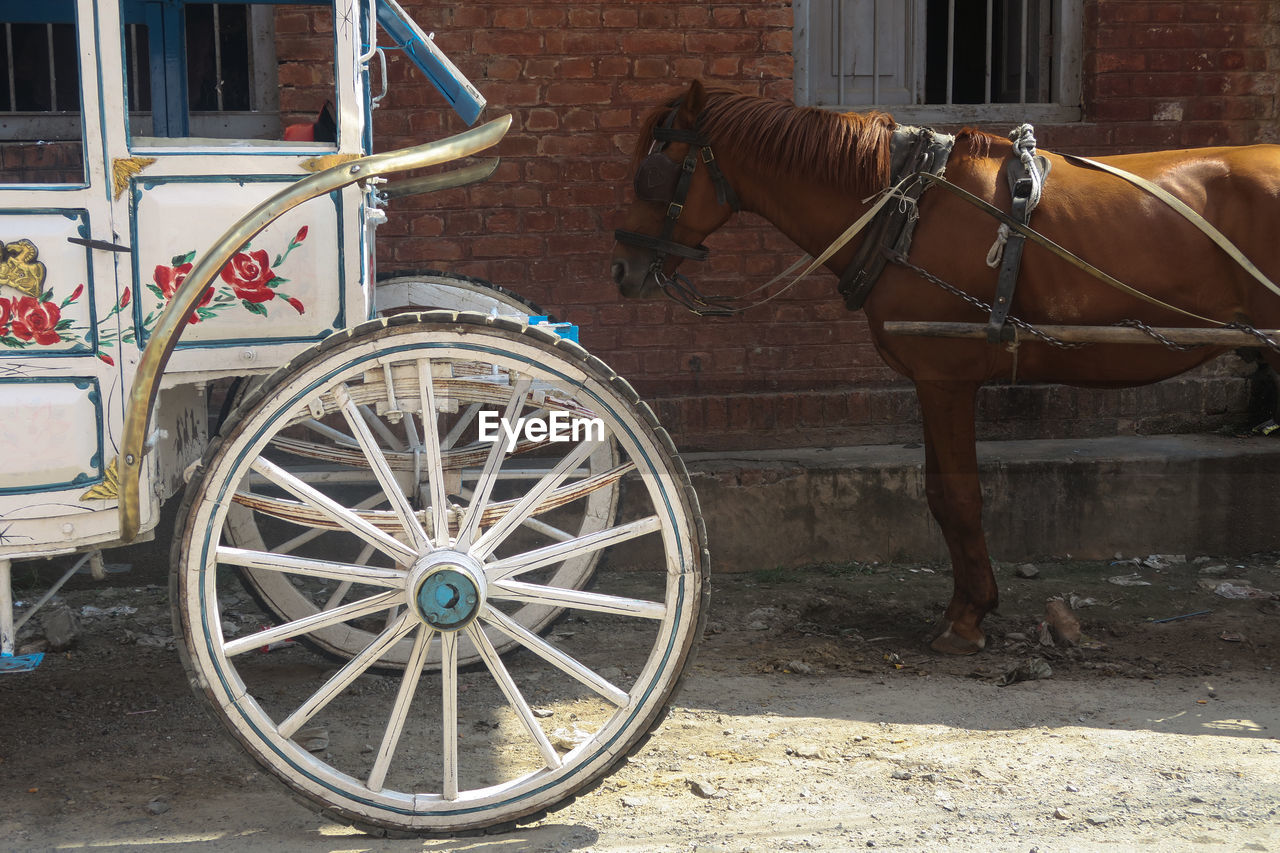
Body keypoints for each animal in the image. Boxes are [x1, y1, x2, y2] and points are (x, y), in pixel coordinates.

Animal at [606, 79, 1280, 650]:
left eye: (653, 171)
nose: (621, 269)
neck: (905, 207)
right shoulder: (935, 383)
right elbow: (937, 492)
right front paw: (970, 606)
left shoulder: (945, 379)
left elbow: (956, 496)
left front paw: (966, 618)